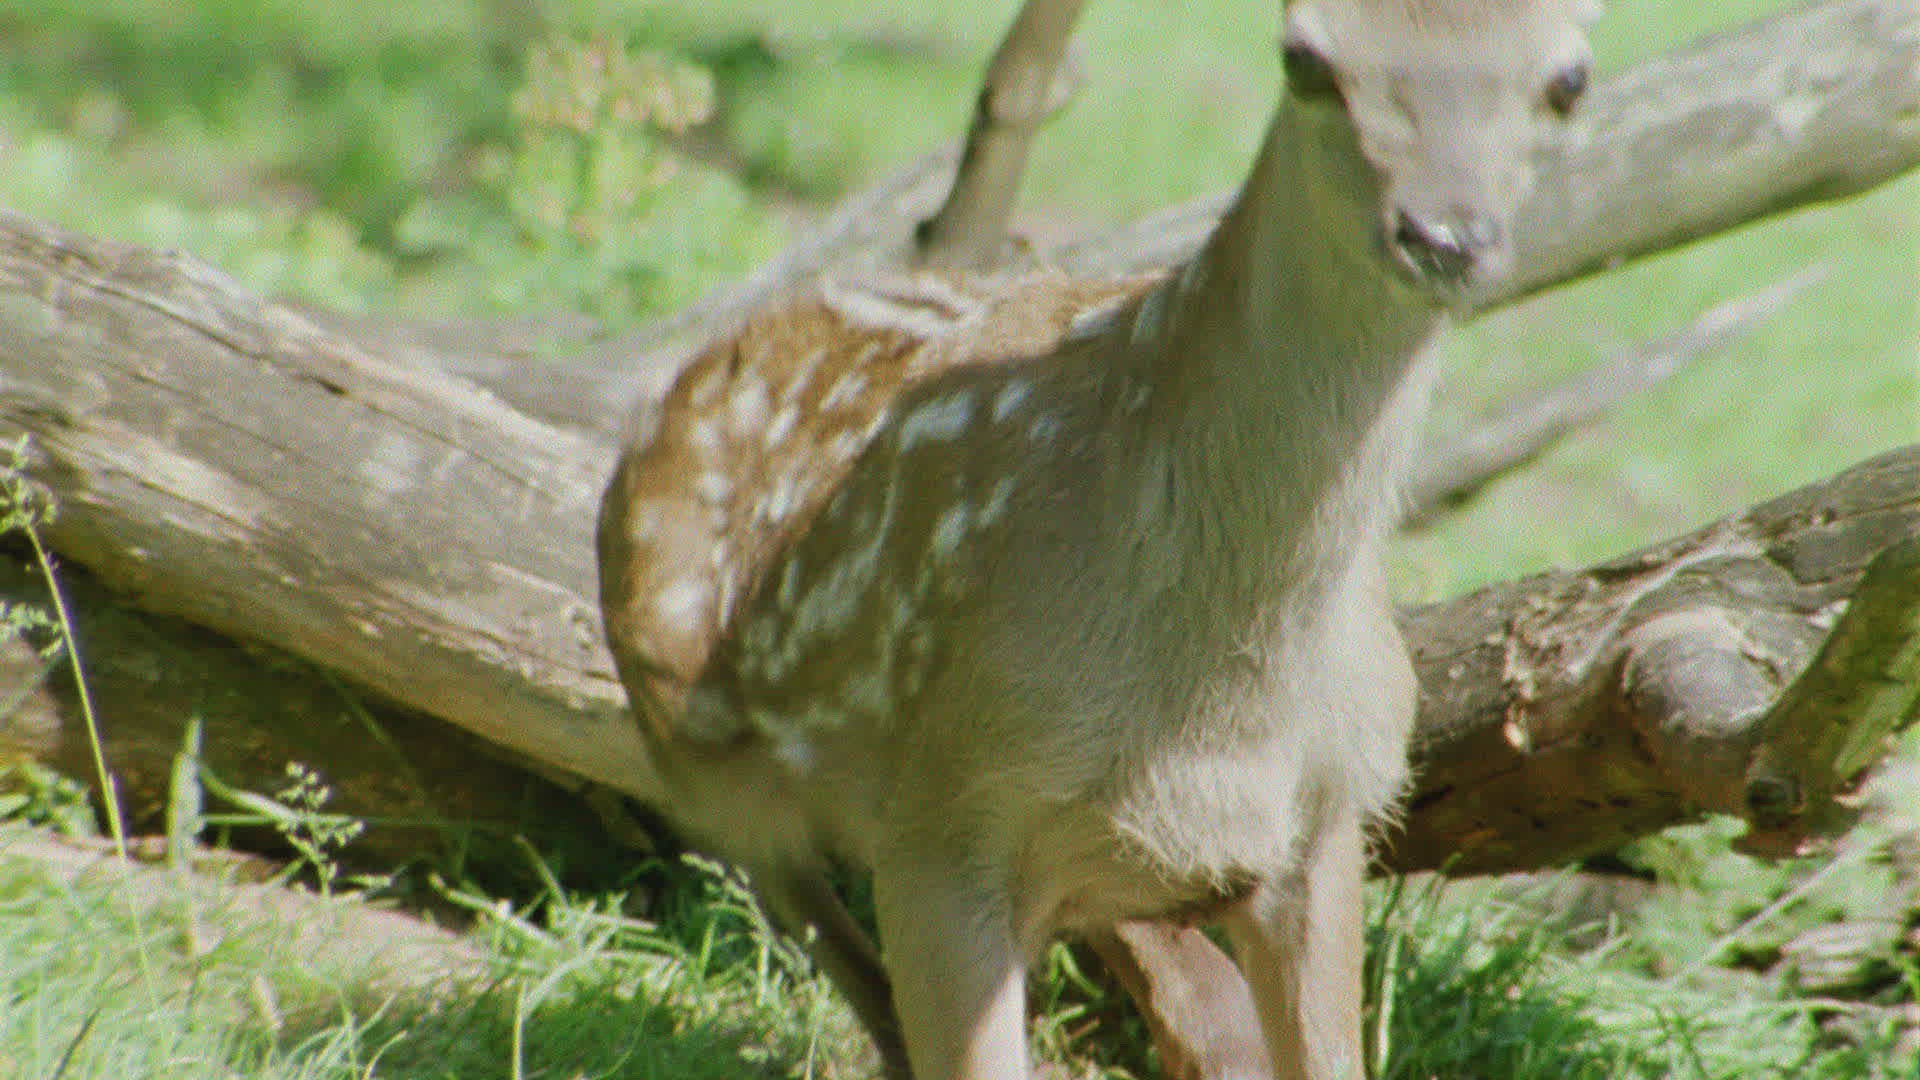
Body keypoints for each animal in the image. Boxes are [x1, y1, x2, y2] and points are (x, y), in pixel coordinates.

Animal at [598, 1, 1602, 1076]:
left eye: (1570, 78)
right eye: (1304, 58)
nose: (1444, 233)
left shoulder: (1330, 815)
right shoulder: (940, 818)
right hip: (700, 749)